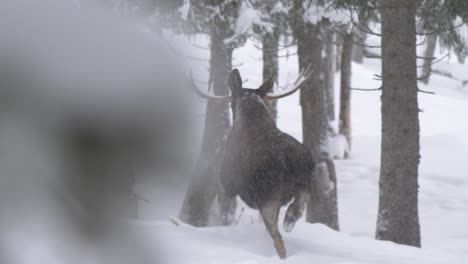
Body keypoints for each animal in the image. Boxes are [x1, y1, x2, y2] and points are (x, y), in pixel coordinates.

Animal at [190, 66, 314, 258]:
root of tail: (289, 162)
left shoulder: (228, 181)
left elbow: (223, 196)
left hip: (267, 197)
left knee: (277, 238)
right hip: (305, 184)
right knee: (297, 209)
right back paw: (289, 221)